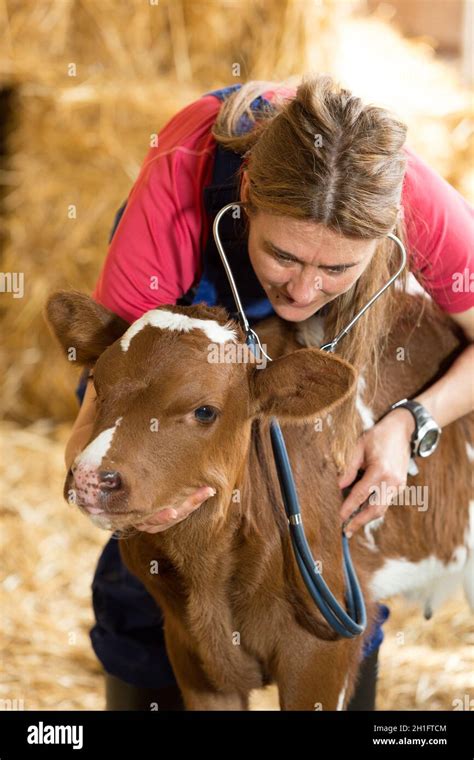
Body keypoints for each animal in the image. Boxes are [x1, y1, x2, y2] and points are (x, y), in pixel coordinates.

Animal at [46, 288, 472, 708]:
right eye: (97, 382)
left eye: (205, 411)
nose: (91, 477)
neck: (209, 575)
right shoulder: (191, 652)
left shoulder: (323, 652)